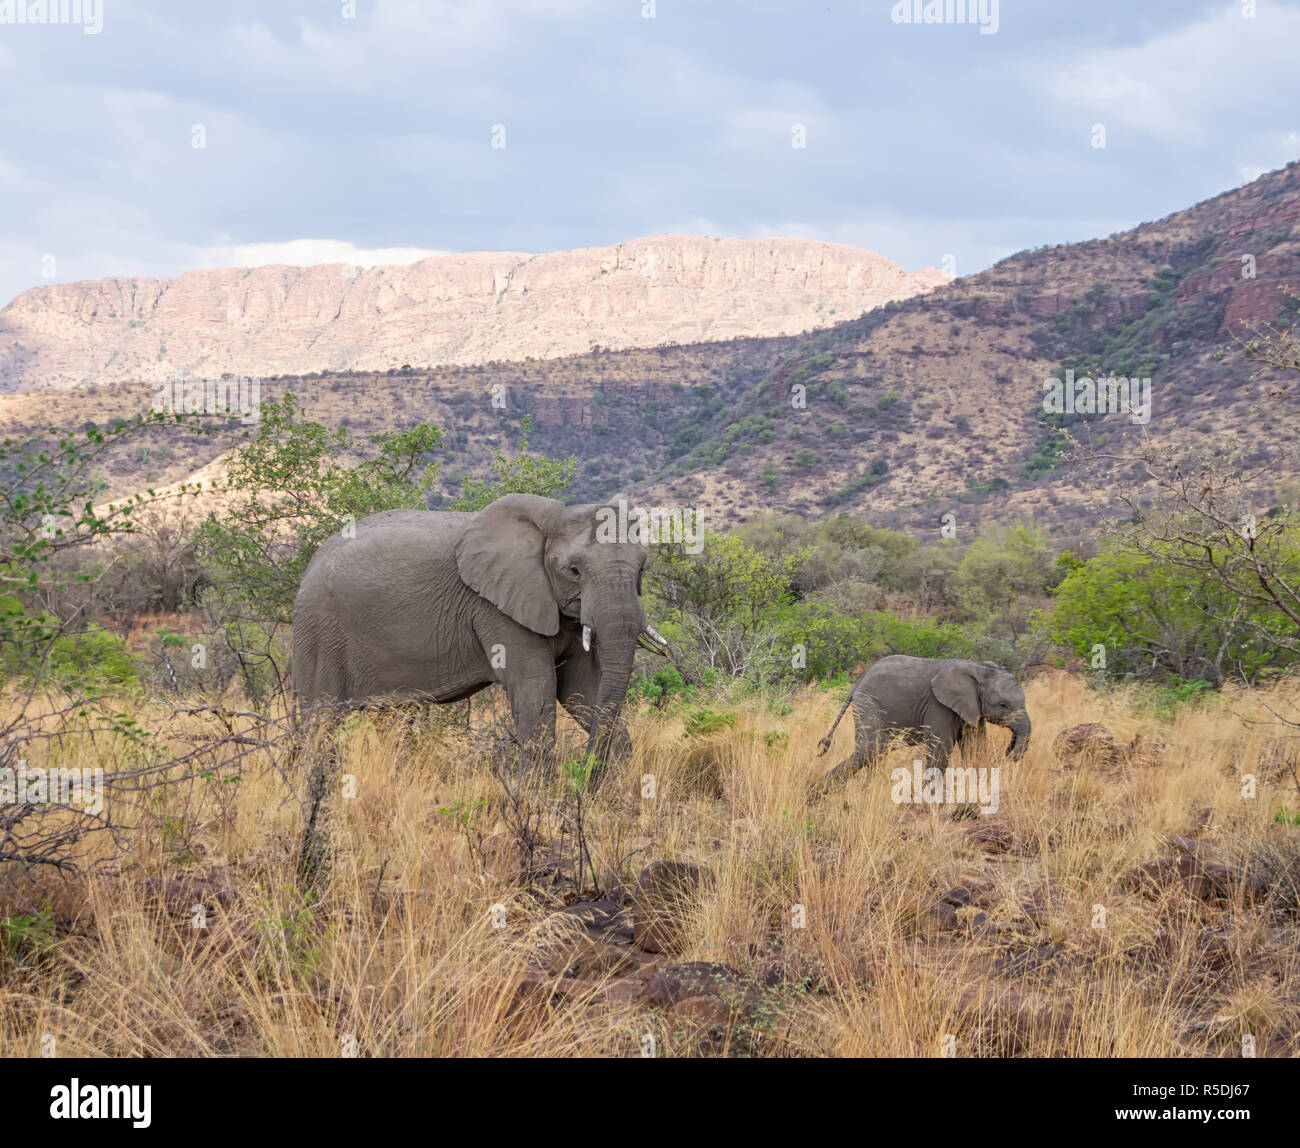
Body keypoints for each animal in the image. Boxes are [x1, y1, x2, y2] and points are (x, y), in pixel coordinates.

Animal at [291, 493, 669, 783]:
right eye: (573, 571)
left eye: (643, 569)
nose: (586, 775)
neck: (550, 520)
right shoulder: (494, 607)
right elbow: (537, 688)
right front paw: (536, 802)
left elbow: (581, 687)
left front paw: (613, 794)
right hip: (319, 631)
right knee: (320, 719)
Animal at [814, 655, 1030, 791]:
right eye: (1003, 705)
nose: (1009, 752)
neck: (979, 669)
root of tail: (859, 679)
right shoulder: (938, 706)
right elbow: (941, 749)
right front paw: (930, 798)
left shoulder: (971, 707)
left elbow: (974, 746)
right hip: (869, 703)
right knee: (870, 749)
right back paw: (830, 786)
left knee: (875, 752)